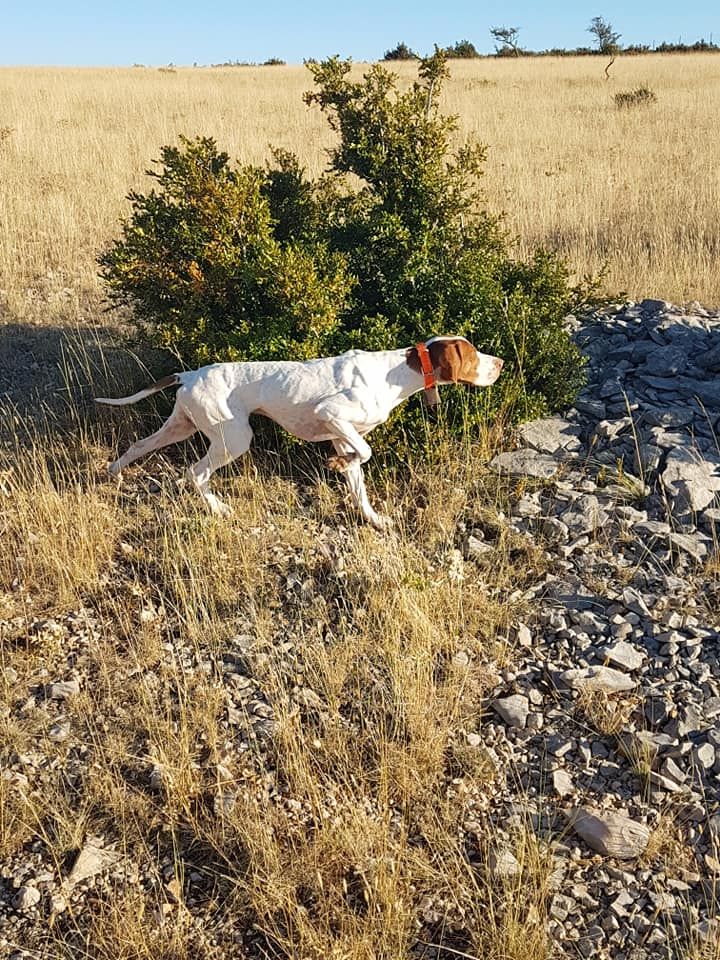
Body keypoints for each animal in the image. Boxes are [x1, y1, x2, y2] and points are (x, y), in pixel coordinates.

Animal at [95, 336, 504, 532]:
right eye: (472, 355)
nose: (500, 363)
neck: (398, 373)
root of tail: (189, 374)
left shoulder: (340, 431)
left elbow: (359, 482)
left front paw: (373, 518)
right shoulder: (333, 415)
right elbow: (365, 451)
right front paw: (338, 463)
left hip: (181, 426)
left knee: (138, 446)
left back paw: (113, 474)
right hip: (234, 438)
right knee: (195, 474)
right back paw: (218, 507)